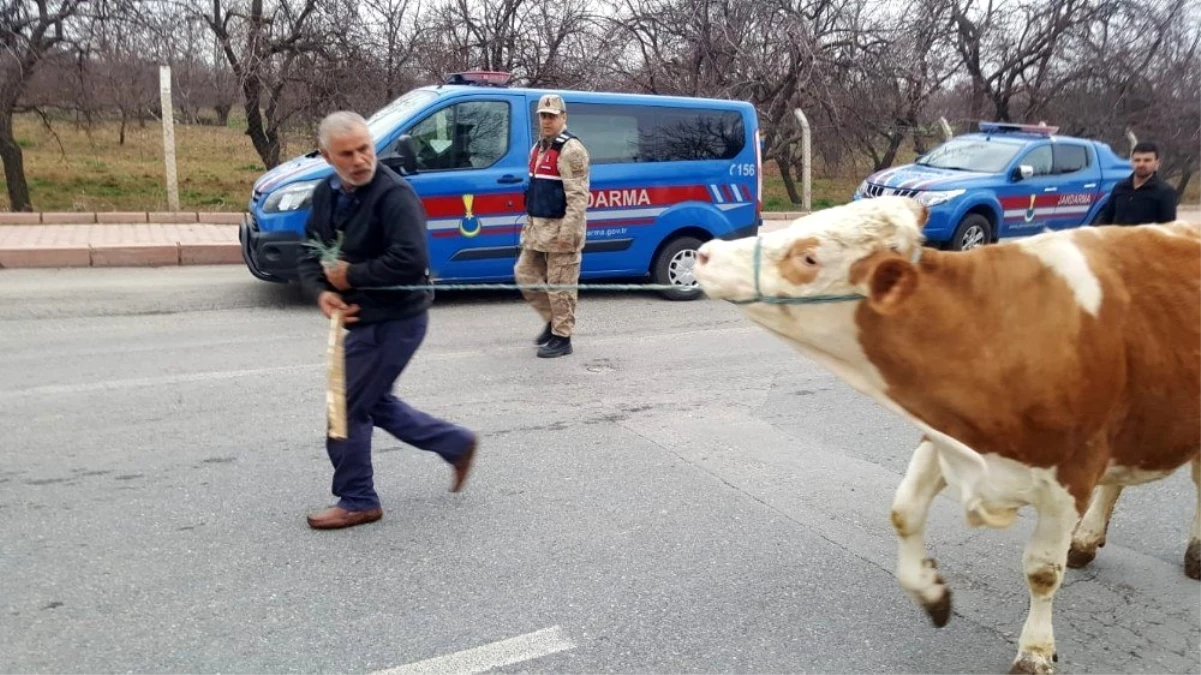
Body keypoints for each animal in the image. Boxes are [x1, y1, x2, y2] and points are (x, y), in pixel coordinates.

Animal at [691, 195, 1201, 672]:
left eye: (809, 257)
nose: (706, 253)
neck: (988, 336)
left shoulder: (1072, 473)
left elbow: (1041, 572)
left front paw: (1034, 652)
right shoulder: (943, 437)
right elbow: (904, 513)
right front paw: (933, 594)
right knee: (1119, 480)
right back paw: (1087, 540)